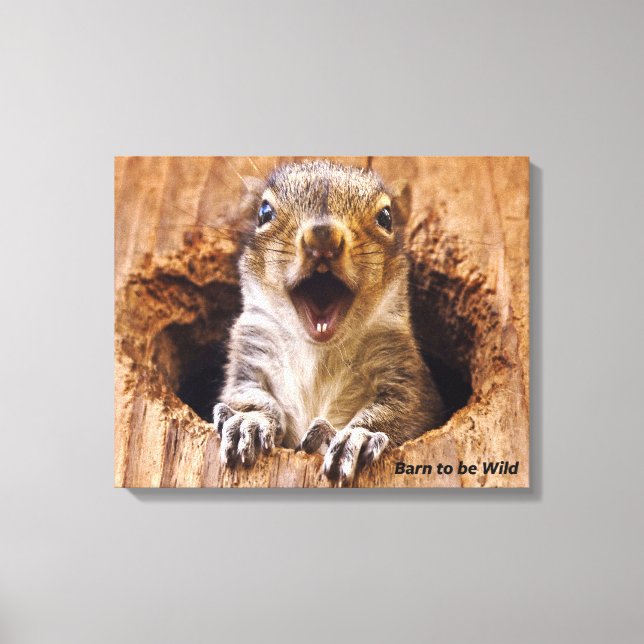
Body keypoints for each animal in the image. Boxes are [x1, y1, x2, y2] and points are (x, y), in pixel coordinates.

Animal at [213, 160, 445, 486]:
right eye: (264, 213)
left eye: (386, 217)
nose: (322, 236)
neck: (318, 350)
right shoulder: (249, 352)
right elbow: (246, 395)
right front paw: (249, 421)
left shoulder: (403, 371)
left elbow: (402, 410)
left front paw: (358, 437)